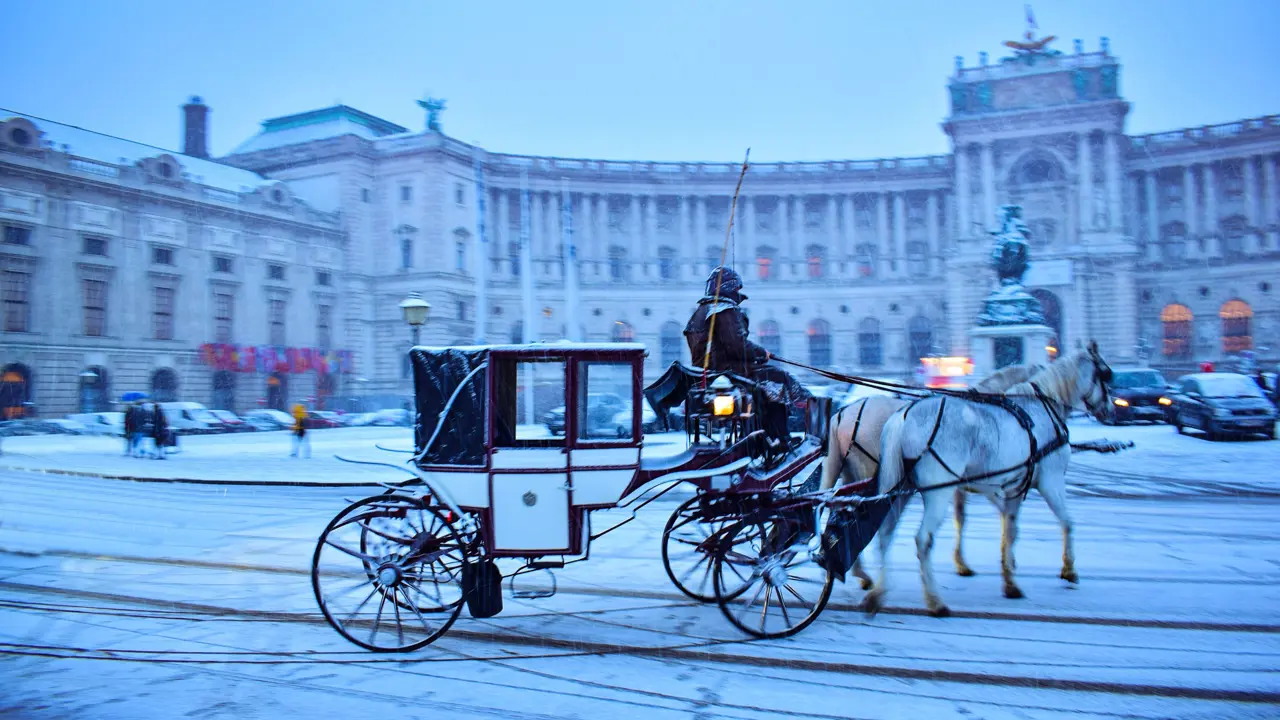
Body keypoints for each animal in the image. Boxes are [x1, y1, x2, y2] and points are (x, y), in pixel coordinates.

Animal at [819, 363, 1039, 589]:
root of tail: (842, 414)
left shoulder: (961, 484)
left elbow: (966, 515)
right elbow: (982, 514)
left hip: (848, 473)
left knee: (839, 508)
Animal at [870, 345, 1111, 614]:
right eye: (1106, 374)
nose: (1111, 409)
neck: (1041, 410)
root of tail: (904, 415)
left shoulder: (1010, 487)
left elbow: (1009, 529)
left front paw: (1009, 579)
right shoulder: (1051, 481)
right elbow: (1067, 522)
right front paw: (1069, 569)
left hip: (901, 489)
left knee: (885, 533)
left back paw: (878, 593)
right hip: (938, 492)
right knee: (923, 540)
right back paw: (935, 600)